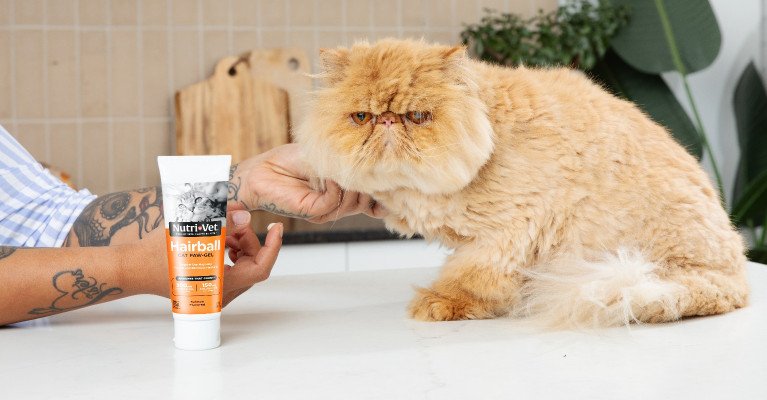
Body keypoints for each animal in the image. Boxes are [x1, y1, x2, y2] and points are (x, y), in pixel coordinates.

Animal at [294, 37, 752, 326]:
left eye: (418, 117)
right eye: (361, 117)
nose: (388, 122)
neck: (491, 137)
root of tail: (735, 279)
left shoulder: (509, 229)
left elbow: (470, 278)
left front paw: (442, 304)